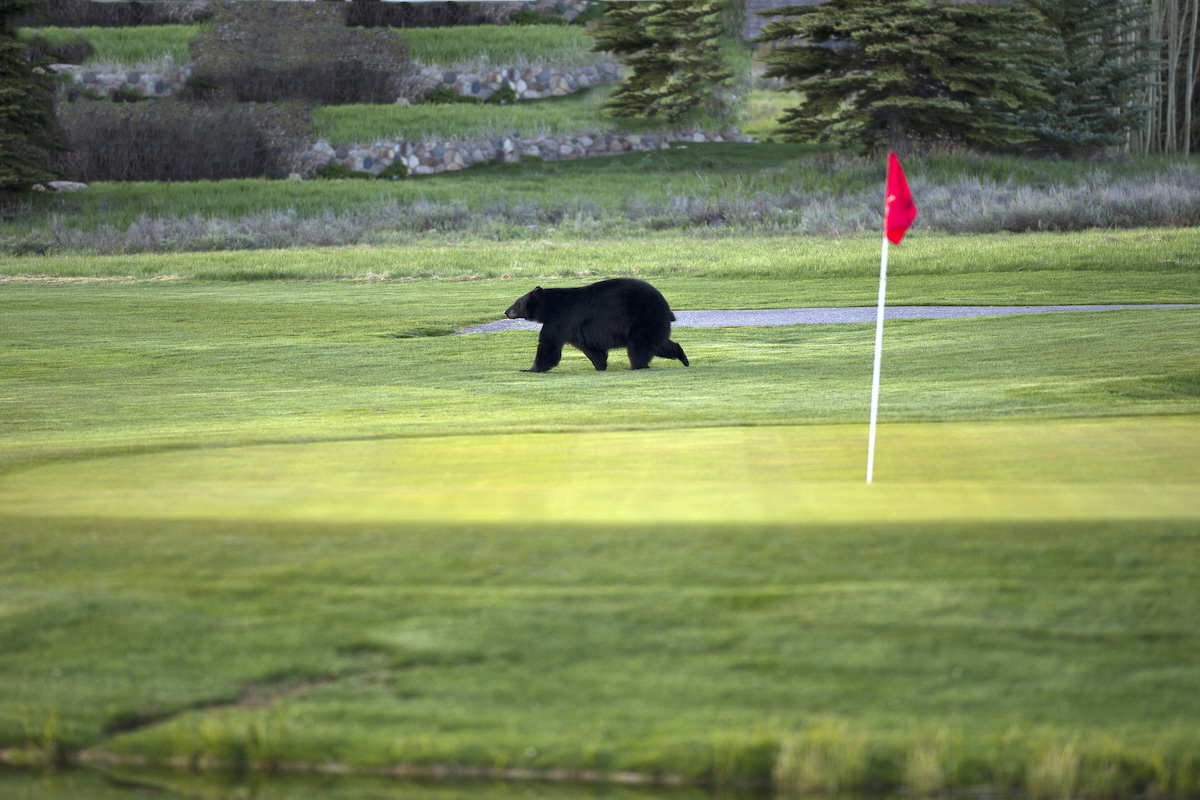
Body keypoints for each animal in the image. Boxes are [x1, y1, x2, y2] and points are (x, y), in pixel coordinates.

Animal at [504, 278, 690, 373]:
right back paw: (683, 357)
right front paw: (601, 365)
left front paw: (530, 369)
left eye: (517, 303)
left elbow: (548, 346)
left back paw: (638, 366)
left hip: (643, 318)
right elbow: (590, 348)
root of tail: (666, 307)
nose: (506, 311)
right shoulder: (576, 329)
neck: (550, 307)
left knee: (639, 346)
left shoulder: (560, 320)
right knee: (660, 344)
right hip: (653, 323)